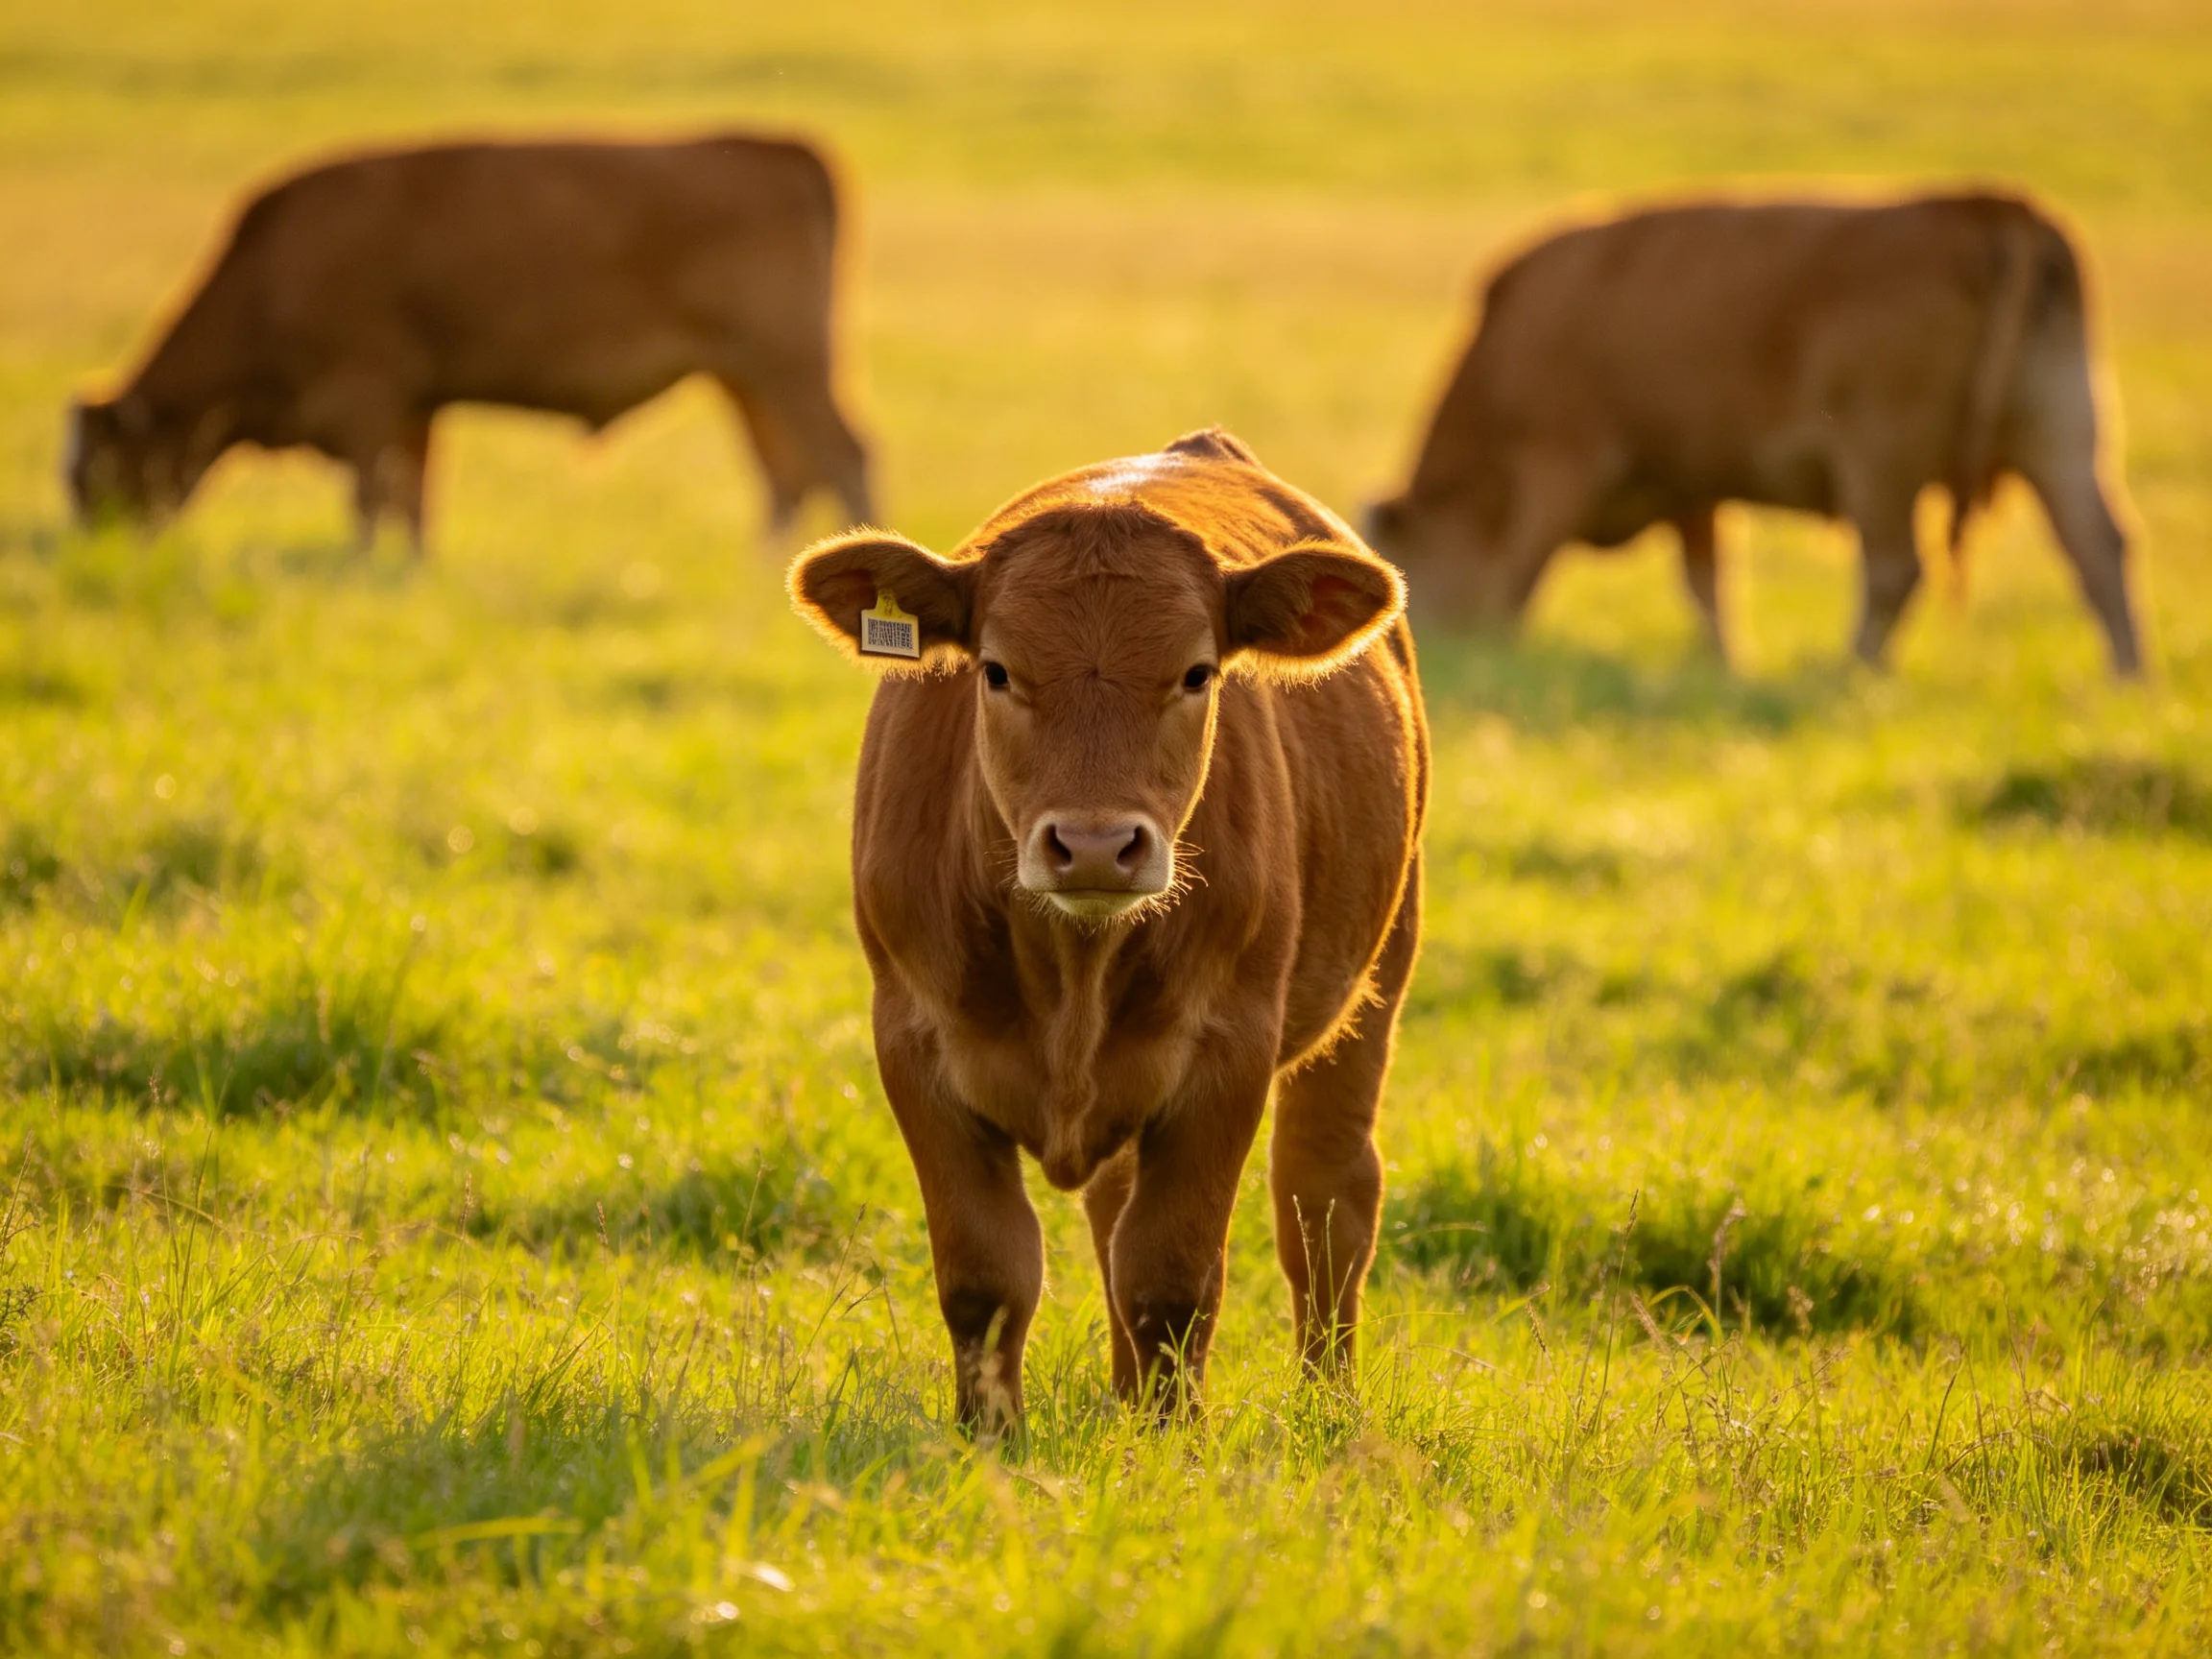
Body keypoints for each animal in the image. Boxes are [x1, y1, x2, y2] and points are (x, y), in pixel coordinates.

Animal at [65, 135, 873, 552]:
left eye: (93, 473)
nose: (96, 548)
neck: (270, 274)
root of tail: (781, 149)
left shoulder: (364, 396)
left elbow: (371, 498)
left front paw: (362, 568)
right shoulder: (414, 407)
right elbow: (412, 499)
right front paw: (408, 571)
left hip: (789, 367)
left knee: (843, 456)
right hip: (745, 379)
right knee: (784, 472)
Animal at [787, 428, 1428, 1432]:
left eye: (1197, 673)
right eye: (997, 670)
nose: (1094, 845)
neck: (1069, 971)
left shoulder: (1227, 1054)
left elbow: (1172, 1279)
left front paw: (1170, 1445)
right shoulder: (913, 1044)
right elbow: (988, 1276)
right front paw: (989, 1441)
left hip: (1377, 977)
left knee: (1324, 1203)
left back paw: (1325, 1406)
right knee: (1117, 1212)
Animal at [1364, 193, 2143, 676]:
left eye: (1412, 561)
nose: (1424, 644)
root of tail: (1992, 209)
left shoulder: (1561, 464)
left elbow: (1521, 571)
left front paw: (1501, 648)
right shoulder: (1690, 487)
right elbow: (1706, 583)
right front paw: (1725, 661)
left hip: (1882, 457)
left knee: (1895, 567)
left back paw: (1850, 668)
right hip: (2062, 438)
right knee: (2100, 548)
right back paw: (2127, 678)